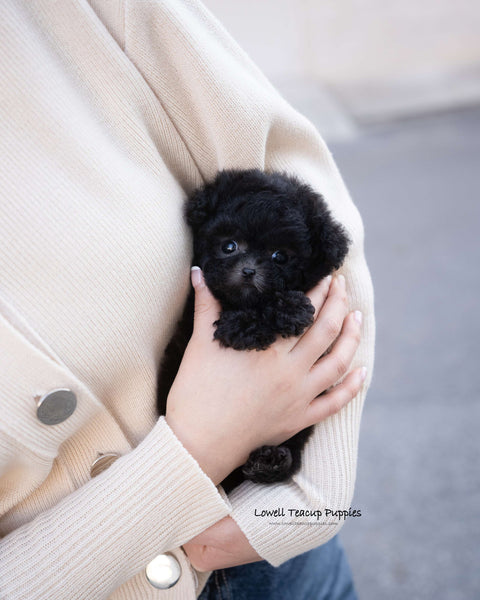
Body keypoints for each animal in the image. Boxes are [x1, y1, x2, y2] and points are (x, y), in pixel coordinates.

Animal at [158, 169, 348, 492]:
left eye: (280, 256)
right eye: (229, 246)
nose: (248, 271)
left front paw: (289, 308)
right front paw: (243, 326)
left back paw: (271, 462)